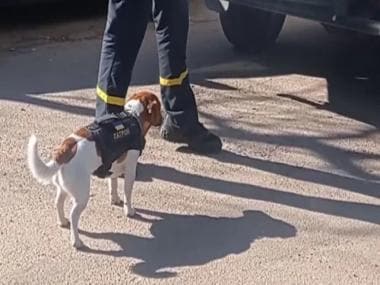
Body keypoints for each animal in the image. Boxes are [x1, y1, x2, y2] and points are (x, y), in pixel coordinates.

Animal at [26, 91, 163, 248]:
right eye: (160, 107)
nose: (163, 119)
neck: (132, 115)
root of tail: (65, 150)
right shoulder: (130, 169)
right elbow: (128, 193)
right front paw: (129, 211)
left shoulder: (113, 168)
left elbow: (113, 185)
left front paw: (115, 199)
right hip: (82, 195)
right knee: (74, 216)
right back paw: (76, 240)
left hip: (63, 188)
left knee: (58, 203)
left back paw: (62, 221)